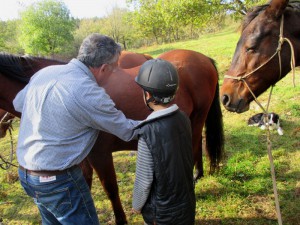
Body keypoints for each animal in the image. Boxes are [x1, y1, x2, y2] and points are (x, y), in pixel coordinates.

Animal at [0, 50, 223, 224]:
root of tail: (203, 58)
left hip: (198, 118)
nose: (1, 129)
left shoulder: (100, 155)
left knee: (195, 145)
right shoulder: (82, 157)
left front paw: (120, 220)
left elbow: (110, 189)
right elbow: (86, 184)